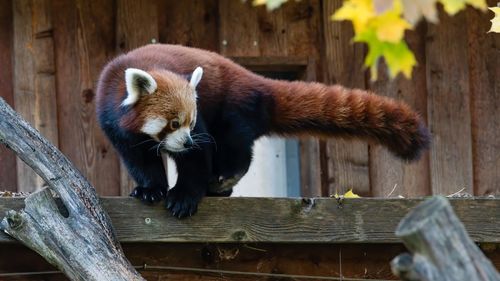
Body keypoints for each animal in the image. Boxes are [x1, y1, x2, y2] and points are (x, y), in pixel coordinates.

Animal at [95, 44, 432, 218]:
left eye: (190, 123)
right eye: (174, 123)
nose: (187, 141)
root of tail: (253, 78)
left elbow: (197, 158)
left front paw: (183, 196)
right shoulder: (116, 126)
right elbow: (139, 161)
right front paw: (150, 189)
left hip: (234, 105)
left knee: (235, 145)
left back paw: (224, 179)